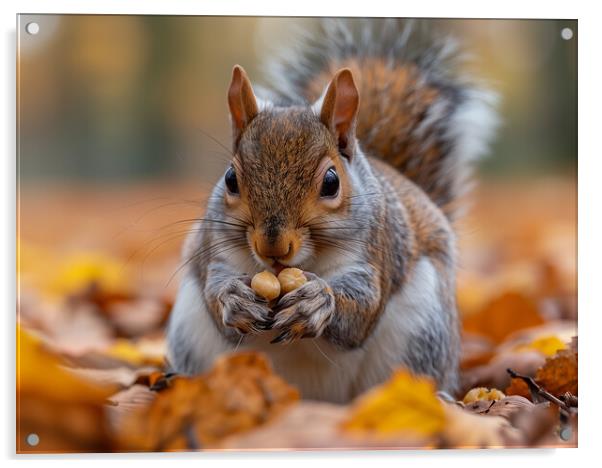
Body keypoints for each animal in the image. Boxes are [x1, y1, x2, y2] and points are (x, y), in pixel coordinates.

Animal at [165, 19, 496, 402]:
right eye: (230, 179)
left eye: (331, 182)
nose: (273, 246)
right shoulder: (216, 253)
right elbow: (215, 292)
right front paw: (234, 299)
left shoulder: (374, 255)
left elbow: (362, 311)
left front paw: (317, 302)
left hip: (424, 331)